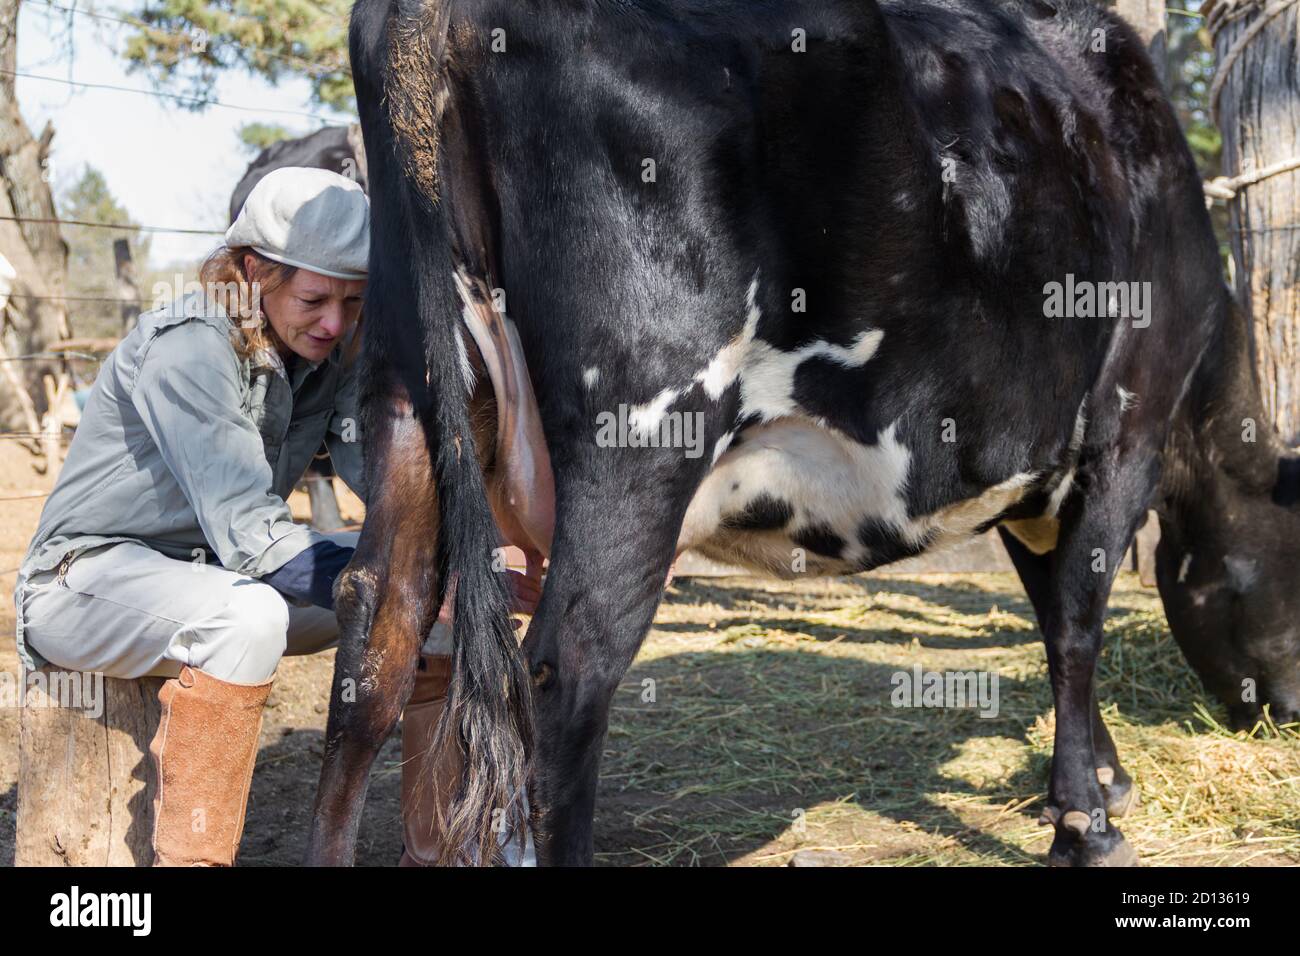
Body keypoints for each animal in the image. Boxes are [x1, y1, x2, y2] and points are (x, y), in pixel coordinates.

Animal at [306, 0, 1300, 868]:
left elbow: (1051, 607)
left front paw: (1103, 777)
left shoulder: (1029, 471)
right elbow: (1077, 627)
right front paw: (1087, 825)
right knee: (568, 666)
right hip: (643, 438)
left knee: (379, 632)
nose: (1285, 710)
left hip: (407, 391)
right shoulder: (1125, 433)